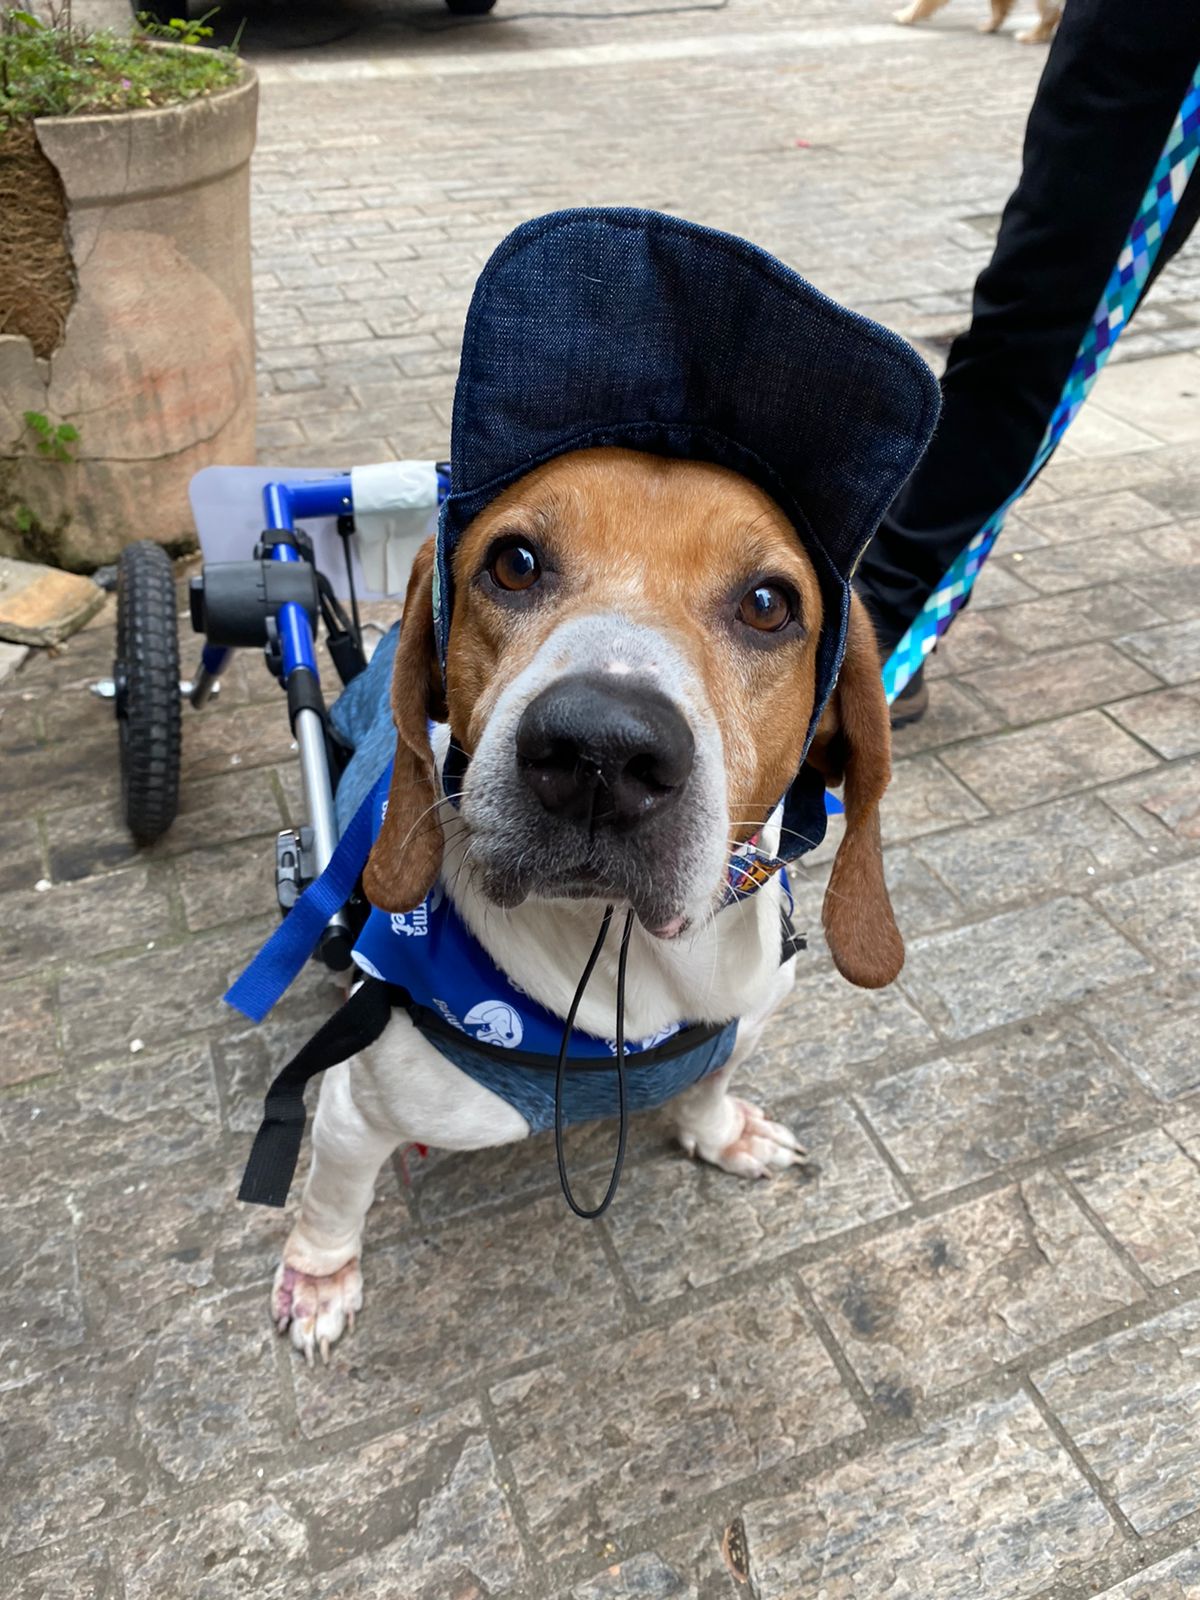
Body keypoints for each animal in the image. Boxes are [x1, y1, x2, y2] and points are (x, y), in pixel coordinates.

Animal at [272, 451, 908, 1363]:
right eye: (514, 563)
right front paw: (320, 1278)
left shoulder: (745, 1018)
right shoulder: (354, 1111)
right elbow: (333, 1201)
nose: (602, 749)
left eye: (768, 605)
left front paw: (721, 1132)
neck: (629, 964)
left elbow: (711, 1082)